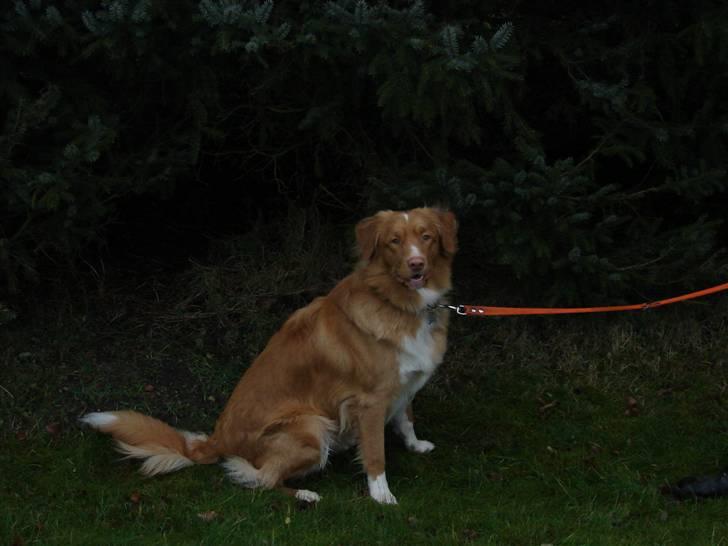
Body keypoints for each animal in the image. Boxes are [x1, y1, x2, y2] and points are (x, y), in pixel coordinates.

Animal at [79, 206, 456, 504]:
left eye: (425, 237)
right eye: (394, 241)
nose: (417, 264)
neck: (397, 303)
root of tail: (216, 440)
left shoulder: (402, 384)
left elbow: (406, 416)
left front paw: (415, 445)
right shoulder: (370, 400)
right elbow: (376, 453)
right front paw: (382, 496)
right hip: (310, 426)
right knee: (260, 478)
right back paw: (305, 494)